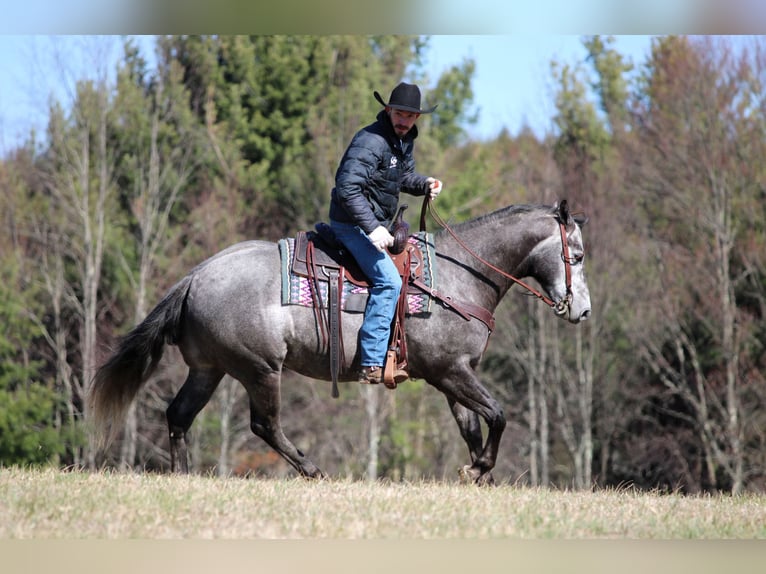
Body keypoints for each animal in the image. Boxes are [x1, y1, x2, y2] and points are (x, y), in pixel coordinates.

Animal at [89, 199, 591, 485]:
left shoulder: (456, 375)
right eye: (579, 255)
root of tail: (195, 276)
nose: (582, 310)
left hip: (208, 370)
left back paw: (184, 476)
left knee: (178, 415)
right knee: (264, 425)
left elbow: (472, 426)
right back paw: (312, 470)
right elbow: (498, 415)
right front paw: (480, 468)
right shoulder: (449, 371)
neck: (457, 276)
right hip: (260, 370)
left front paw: (478, 474)